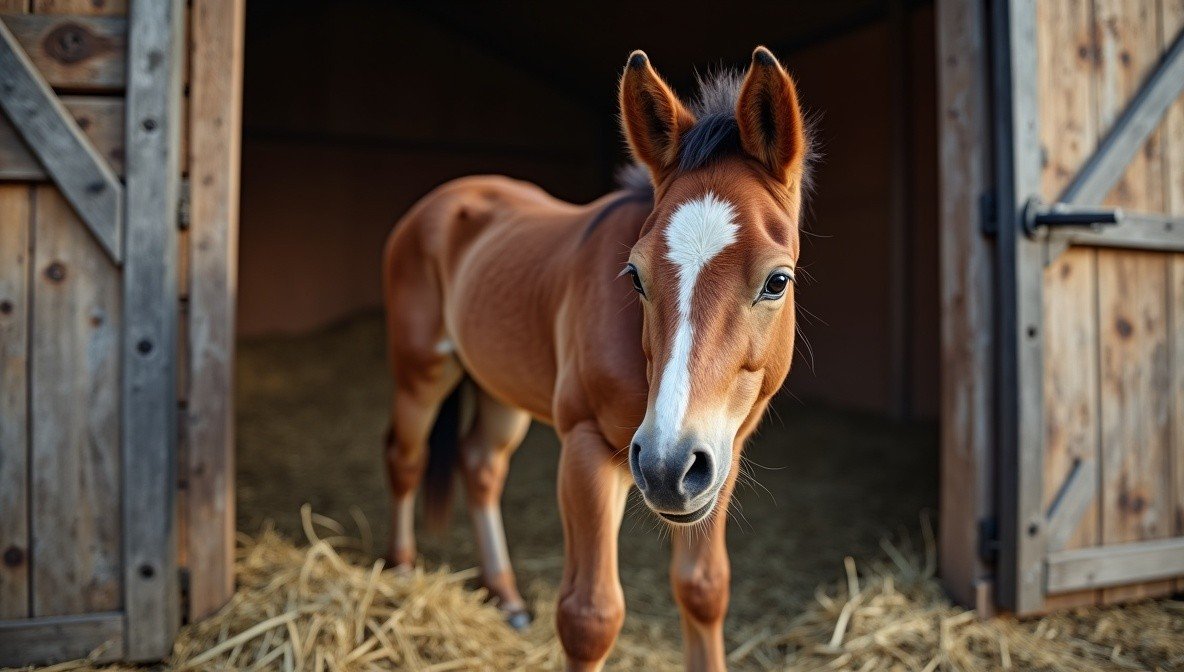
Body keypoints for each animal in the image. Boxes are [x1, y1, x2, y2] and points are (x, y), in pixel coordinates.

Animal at [381, 46, 810, 670]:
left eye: (777, 281)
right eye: (634, 275)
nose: (666, 466)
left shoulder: (721, 460)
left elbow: (703, 591)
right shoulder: (586, 450)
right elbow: (589, 619)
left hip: (500, 388)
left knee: (481, 466)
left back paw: (507, 596)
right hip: (422, 373)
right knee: (406, 459)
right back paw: (401, 574)